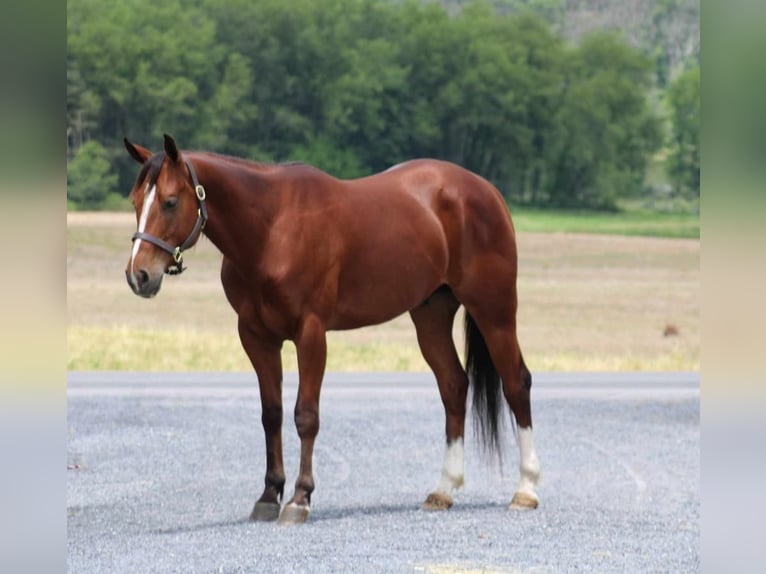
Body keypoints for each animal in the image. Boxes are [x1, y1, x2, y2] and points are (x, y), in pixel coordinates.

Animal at [124, 134, 540, 528]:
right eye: (135, 201)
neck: (272, 229)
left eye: (170, 202)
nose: (139, 275)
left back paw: (526, 489)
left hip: (495, 310)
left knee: (515, 383)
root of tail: (485, 190)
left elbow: (306, 415)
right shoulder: (257, 337)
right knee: (453, 386)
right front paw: (268, 495)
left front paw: (299, 499)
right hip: (431, 315)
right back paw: (443, 490)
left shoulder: (311, 333)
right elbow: (271, 414)